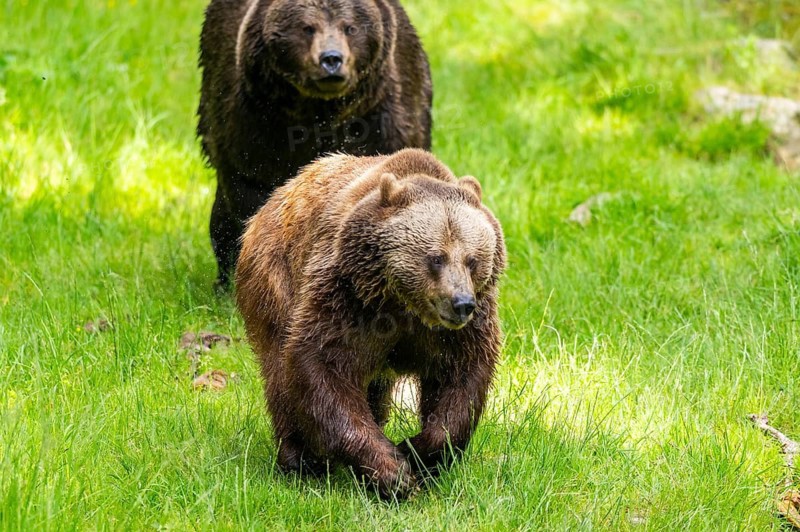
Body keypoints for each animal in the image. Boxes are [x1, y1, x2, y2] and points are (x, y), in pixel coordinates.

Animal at [197, 0, 433, 288]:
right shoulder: (256, 125)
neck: (319, 113)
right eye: (307, 27)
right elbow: (251, 188)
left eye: (350, 27)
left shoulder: (383, 119)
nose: (331, 59)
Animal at [235, 149, 506, 498]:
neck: (404, 305)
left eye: (472, 260)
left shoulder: (459, 331)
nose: (461, 303)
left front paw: (415, 453)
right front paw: (392, 471)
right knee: (280, 376)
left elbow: (462, 379)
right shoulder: (348, 299)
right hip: (275, 281)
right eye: (436, 258)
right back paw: (299, 461)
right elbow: (323, 367)